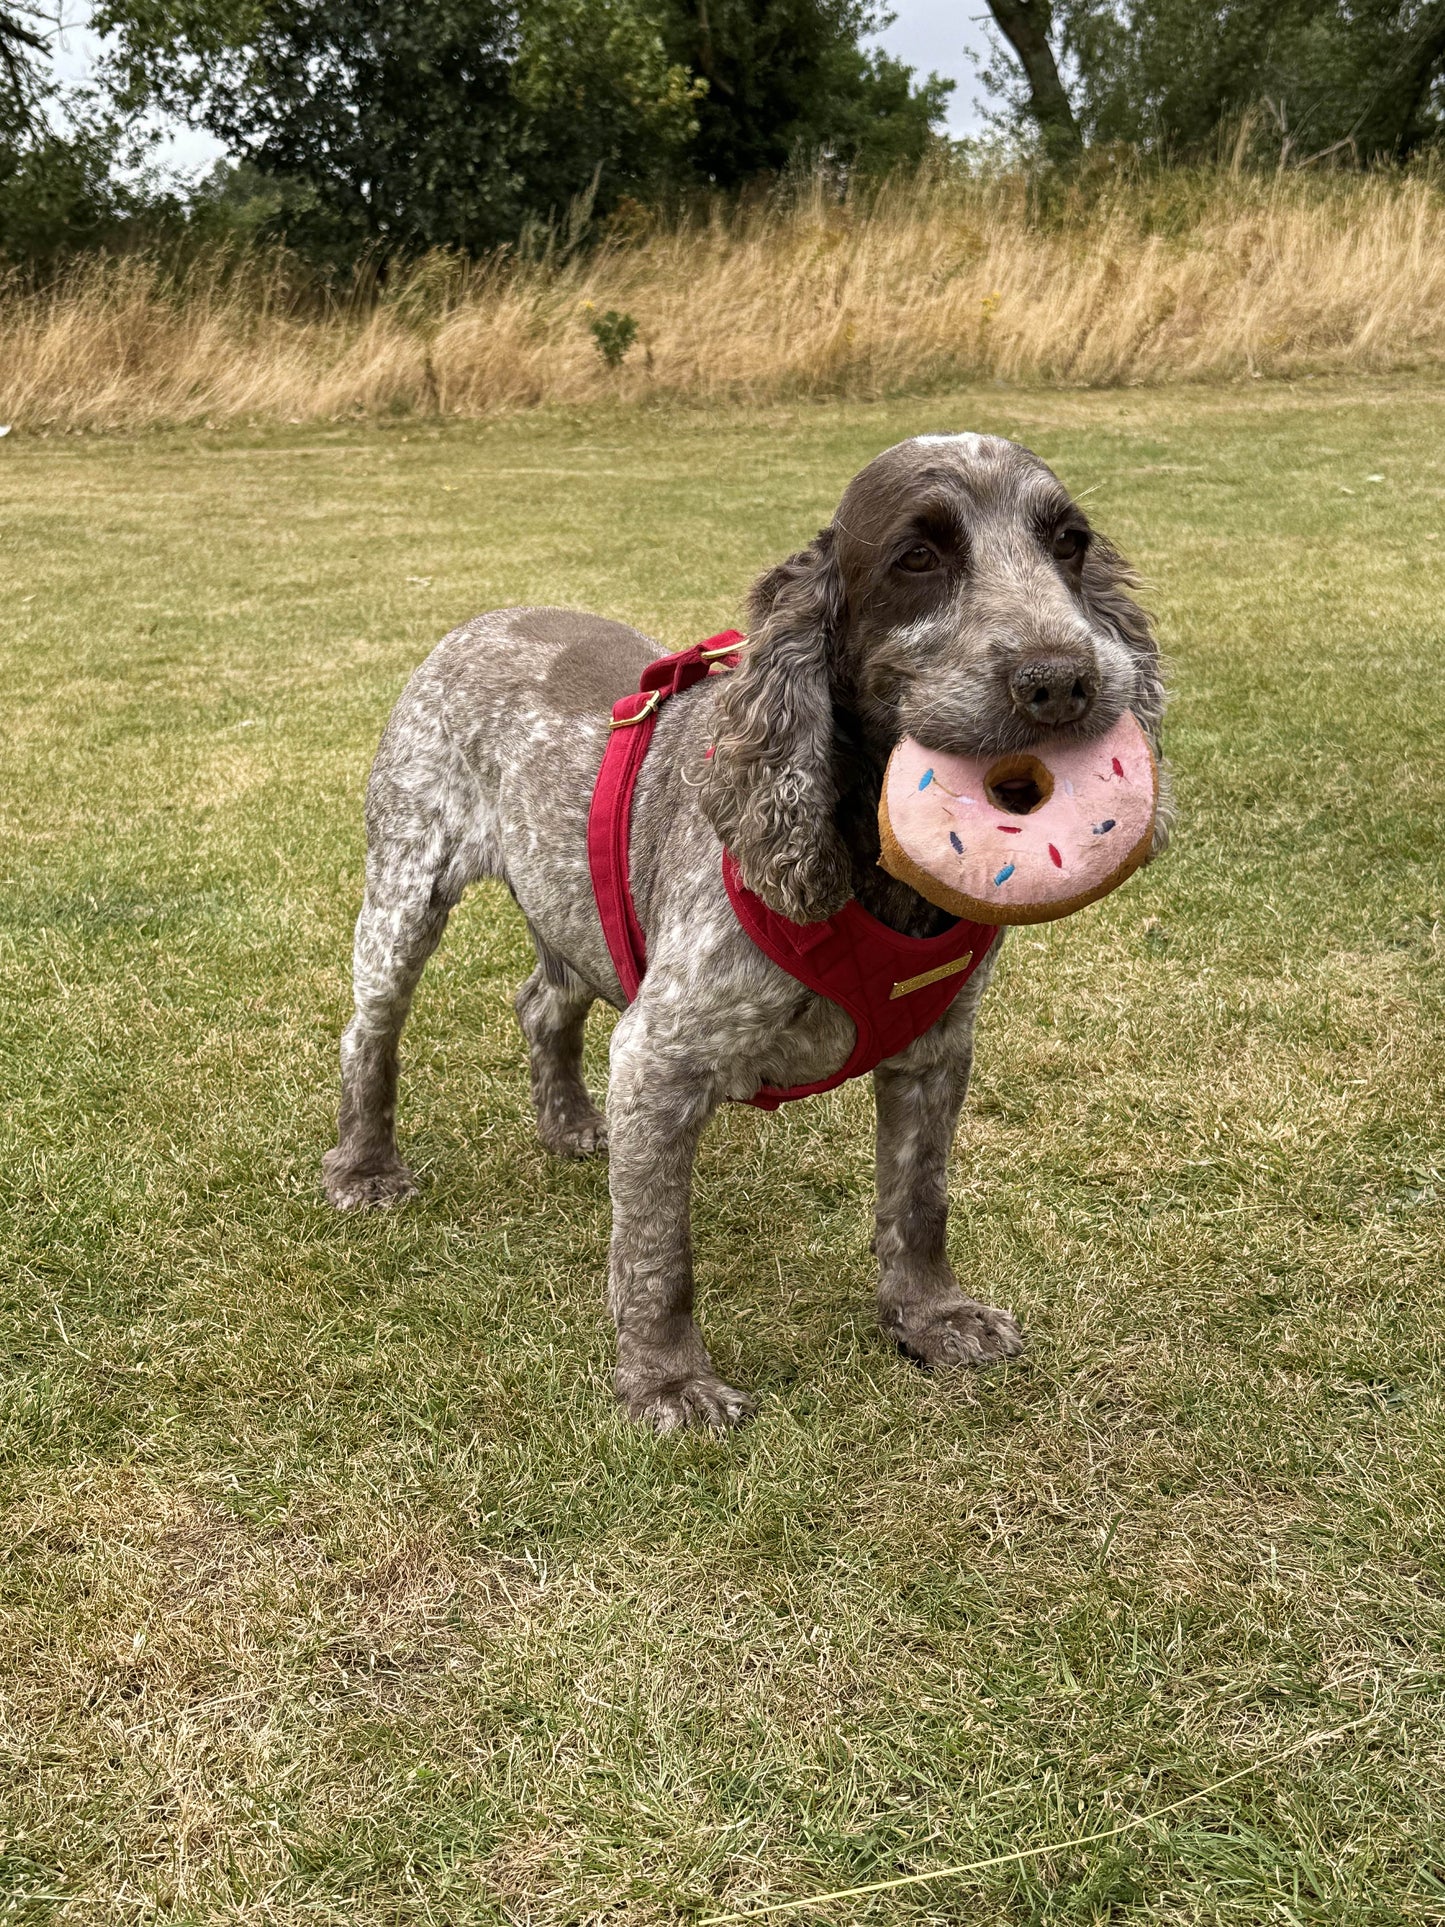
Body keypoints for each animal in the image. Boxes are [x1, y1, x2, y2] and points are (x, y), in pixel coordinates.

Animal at [321, 437, 1171, 1433]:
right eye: (916, 557)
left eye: (1068, 542)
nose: (1063, 680)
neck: (867, 868)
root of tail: (485, 618)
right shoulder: (660, 1057)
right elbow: (658, 1256)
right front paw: (666, 1382)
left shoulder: (935, 1051)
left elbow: (919, 1201)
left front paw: (930, 1316)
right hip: (406, 889)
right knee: (370, 1032)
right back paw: (365, 1167)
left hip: (567, 899)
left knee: (542, 1003)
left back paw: (570, 1123)